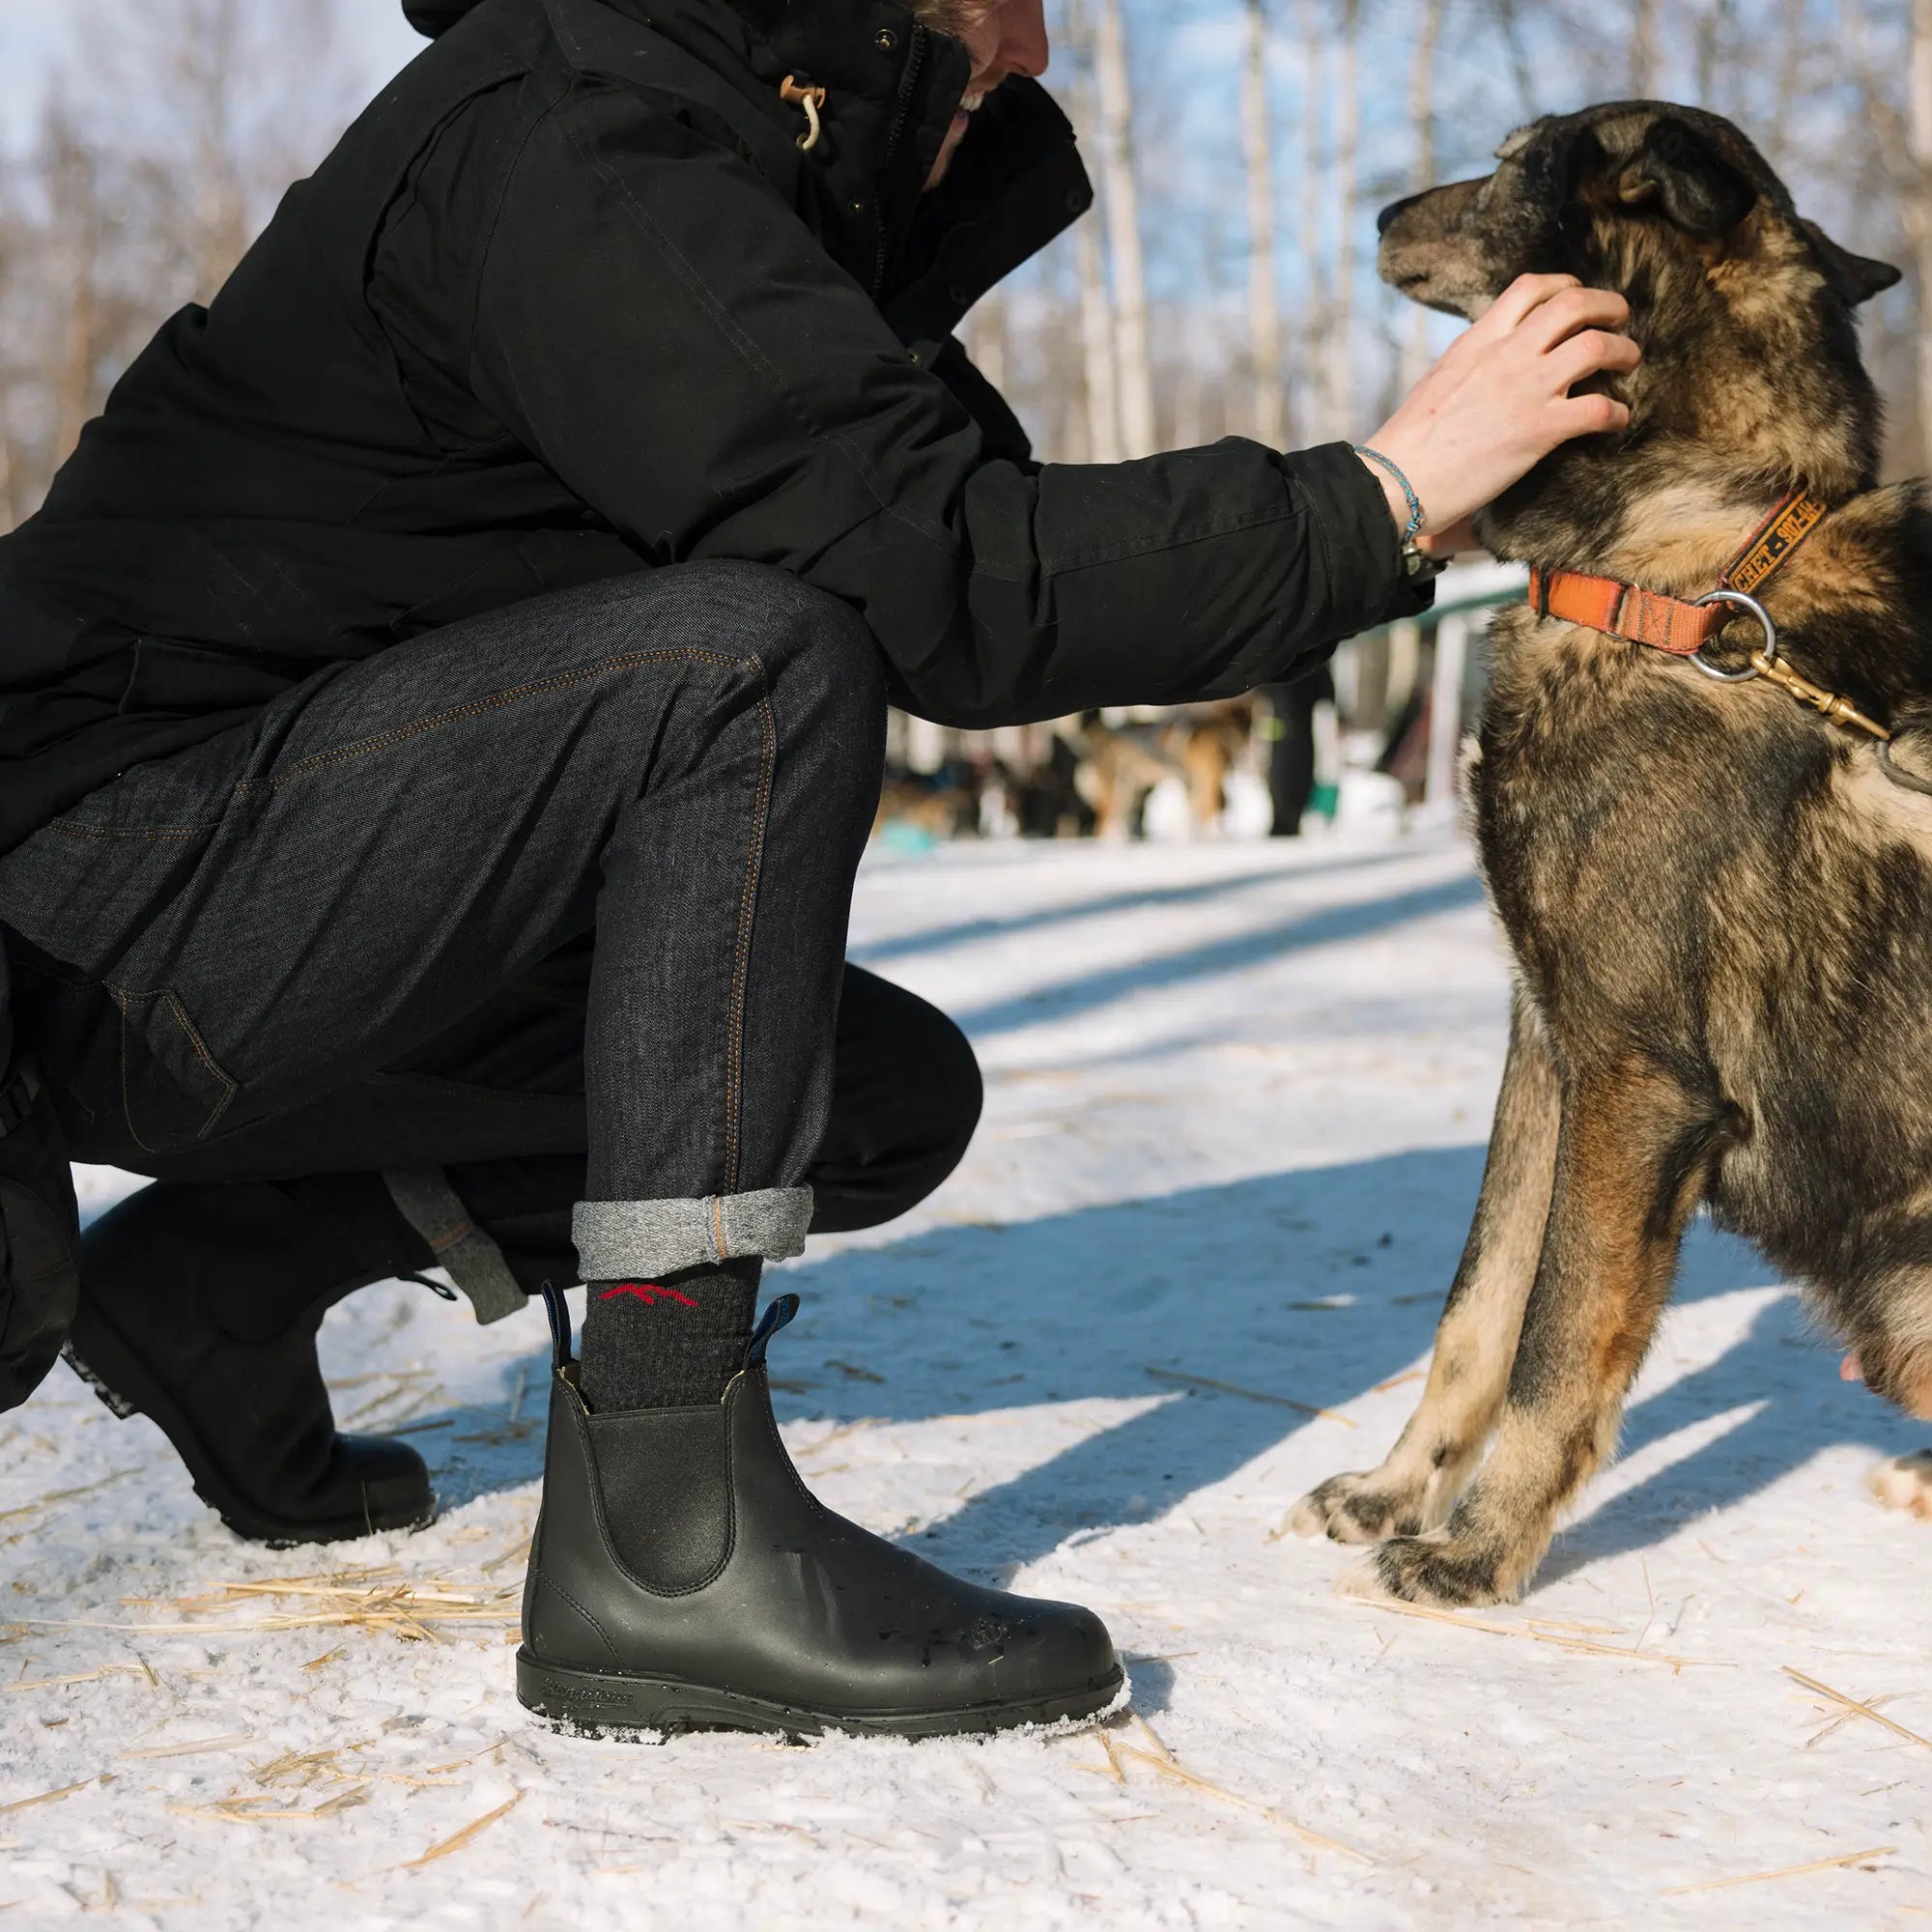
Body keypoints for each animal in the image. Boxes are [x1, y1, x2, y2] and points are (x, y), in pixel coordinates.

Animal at [1291, 109, 1932, 1615]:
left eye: (1516, 161)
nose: (1378, 214)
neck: (1675, 579)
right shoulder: (1548, 1046)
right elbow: (1477, 1310)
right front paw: (1400, 1491)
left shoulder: (1634, 1079)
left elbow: (1553, 1339)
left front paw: (1476, 1550)